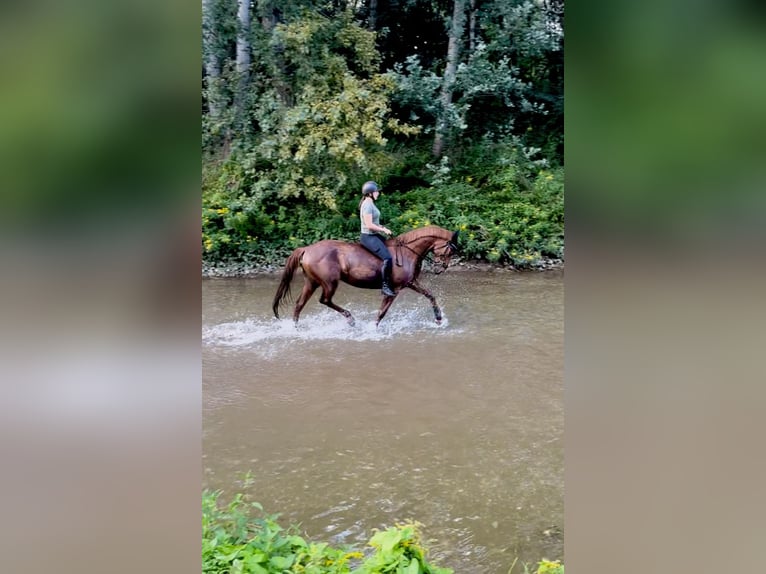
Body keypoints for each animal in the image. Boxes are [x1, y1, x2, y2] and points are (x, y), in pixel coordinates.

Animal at [272, 225, 459, 327]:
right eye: (450, 250)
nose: (441, 269)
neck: (408, 252)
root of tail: (307, 249)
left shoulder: (411, 282)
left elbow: (430, 295)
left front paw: (439, 319)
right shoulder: (395, 289)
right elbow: (382, 312)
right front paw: (372, 330)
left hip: (311, 282)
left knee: (299, 304)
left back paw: (295, 328)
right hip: (329, 282)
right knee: (324, 300)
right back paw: (350, 319)